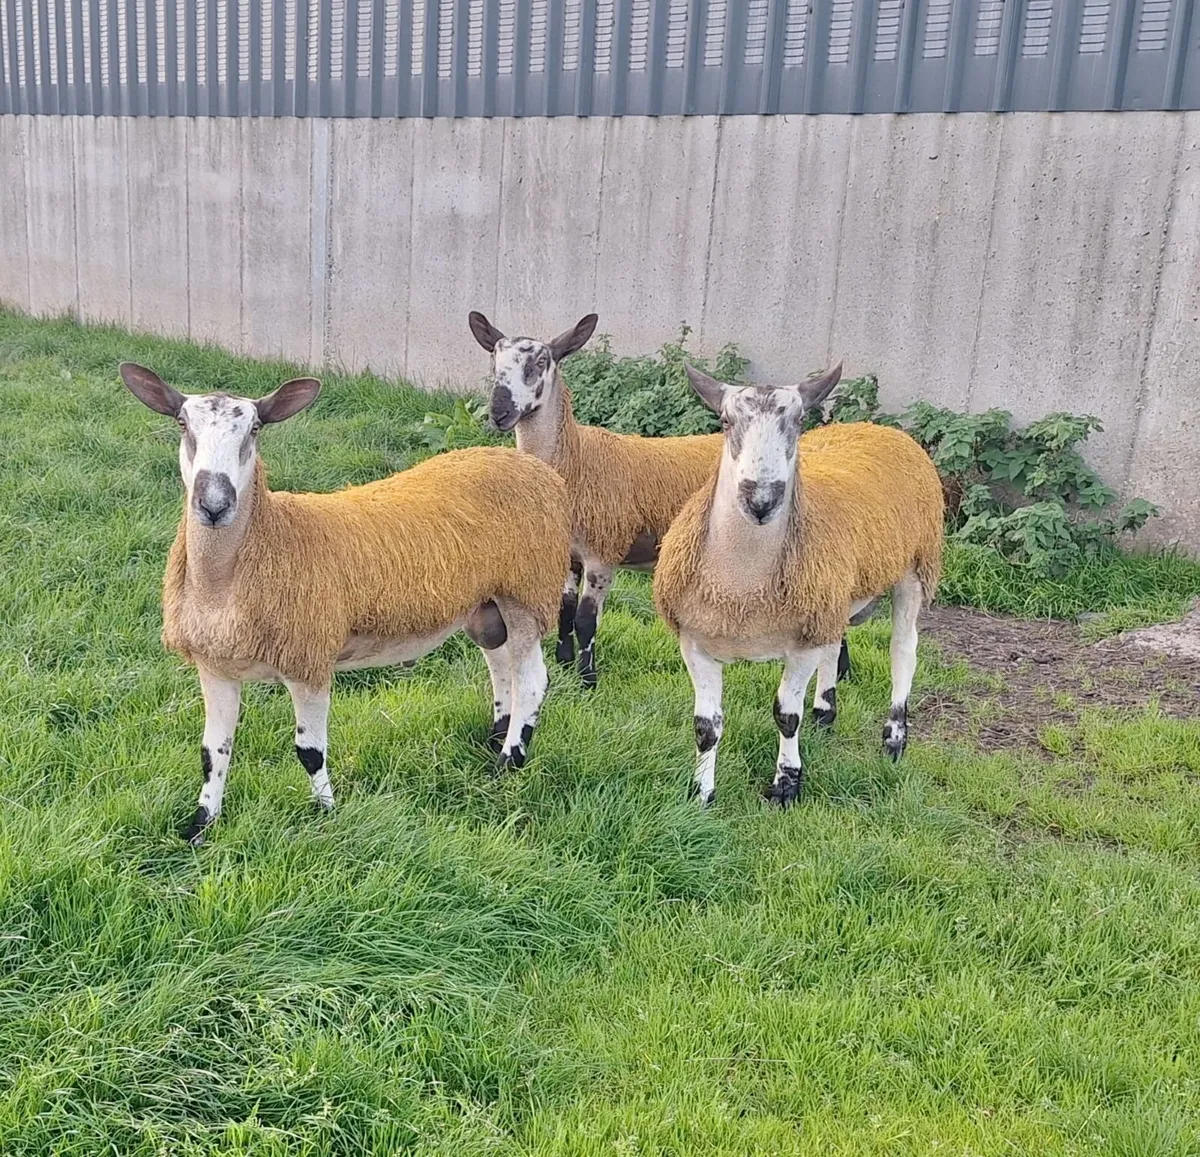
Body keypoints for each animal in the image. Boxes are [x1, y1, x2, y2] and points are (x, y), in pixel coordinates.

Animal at [120, 363, 571, 845]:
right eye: (182, 424)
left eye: (255, 429)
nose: (214, 505)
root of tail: (532, 464)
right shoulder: (215, 665)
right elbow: (212, 752)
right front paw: (200, 828)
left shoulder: (309, 659)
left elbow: (309, 751)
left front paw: (327, 815)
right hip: (485, 602)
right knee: (500, 662)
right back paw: (496, 737)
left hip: (527, 588)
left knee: (532, 680)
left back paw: (509, 761)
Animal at [467, 312, 852, 701]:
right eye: (494, 361)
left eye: (540, 362)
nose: (498, 412)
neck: (574, 460)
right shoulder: (570, 553)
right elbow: (565, 610)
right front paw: (563, 662)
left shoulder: (603, 551)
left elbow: (586, 620)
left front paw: (587, 680)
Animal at [653, 363, 944, 808]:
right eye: (725, 422)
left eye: (800, 420)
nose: (761, 500)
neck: (742, 586)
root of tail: (878, 429)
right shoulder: (695, 640)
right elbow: (706, 725)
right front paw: (701, 794)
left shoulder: (801, 645)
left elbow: (787, 716)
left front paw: (786, 785)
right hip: (831, 596)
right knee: (836, 642)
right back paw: (825, 713)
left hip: (914, 566)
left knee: (903, 651)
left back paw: (894, 738)